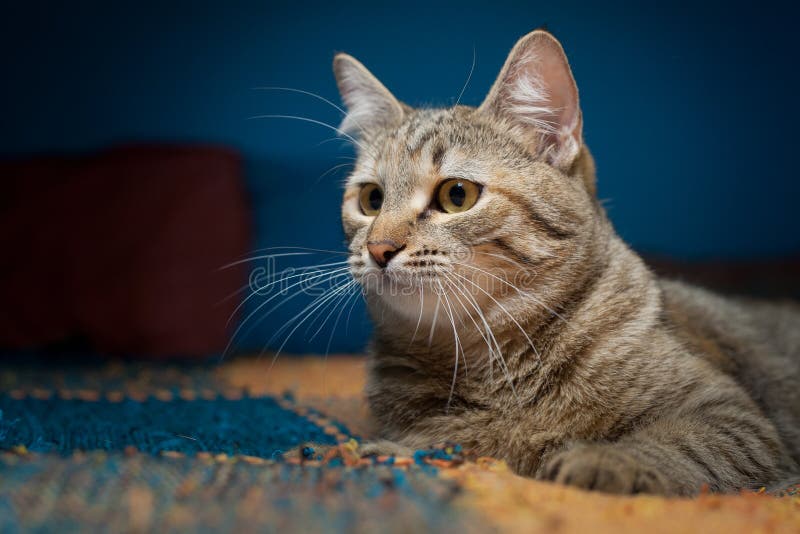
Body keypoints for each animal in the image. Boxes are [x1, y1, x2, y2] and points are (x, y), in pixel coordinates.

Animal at [296, 28, 800, 498]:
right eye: (371, 199)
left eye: (457, 195)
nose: (379, 248)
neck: (492, 364)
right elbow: (435, 443)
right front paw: (358, 451)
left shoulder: (733, 419)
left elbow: (673, 444)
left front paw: (606, 460)